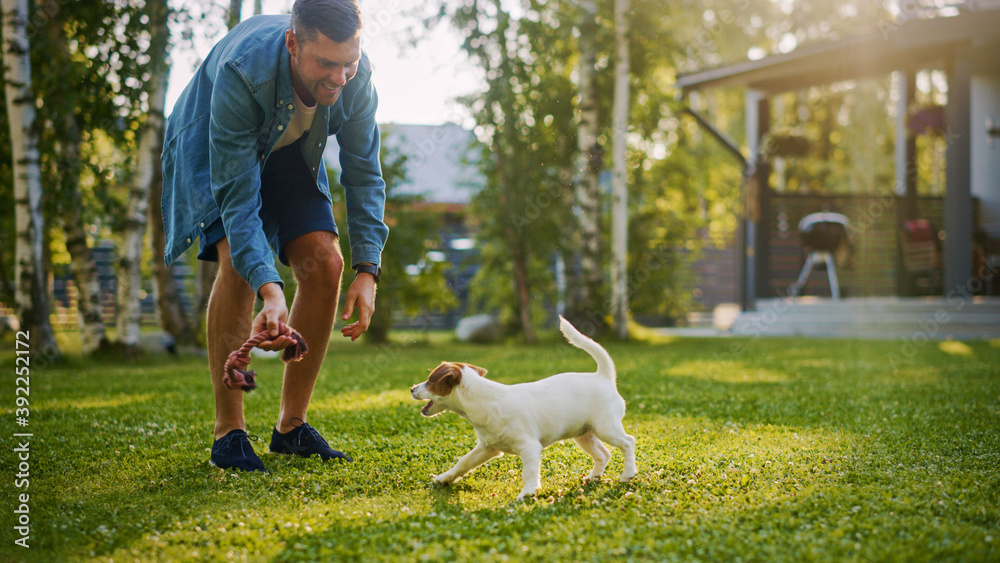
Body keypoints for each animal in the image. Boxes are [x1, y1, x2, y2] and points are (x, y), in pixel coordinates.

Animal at [412, 318, 632, 502]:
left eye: (430, 381)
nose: (412, 388)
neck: (485, 401)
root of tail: (603, 376)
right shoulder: (487, 447)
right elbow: (463, 463)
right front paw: (444, 478)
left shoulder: (529, 447)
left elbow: (529, 473)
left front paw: (527, 493)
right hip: (584, 434)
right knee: (603, 454)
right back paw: (593, 478)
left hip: (606, 428)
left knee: (628, 442)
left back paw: (628, 474)